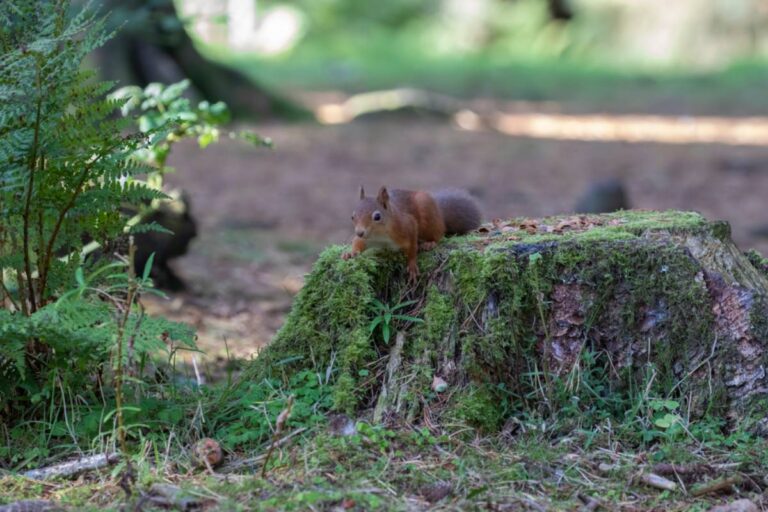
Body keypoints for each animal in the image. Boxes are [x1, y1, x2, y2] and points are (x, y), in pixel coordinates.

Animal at [342, 186, 481, 281]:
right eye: (352, 216)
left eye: (377, 216)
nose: (359, 232)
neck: (380, 235)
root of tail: (439, 212)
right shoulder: (366, 238)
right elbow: (357, 242)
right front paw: (350, 253)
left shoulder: (408, 226)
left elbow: (413, 246)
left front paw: (412, 264)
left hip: (428, 213)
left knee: (438, 233)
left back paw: (430, 243)